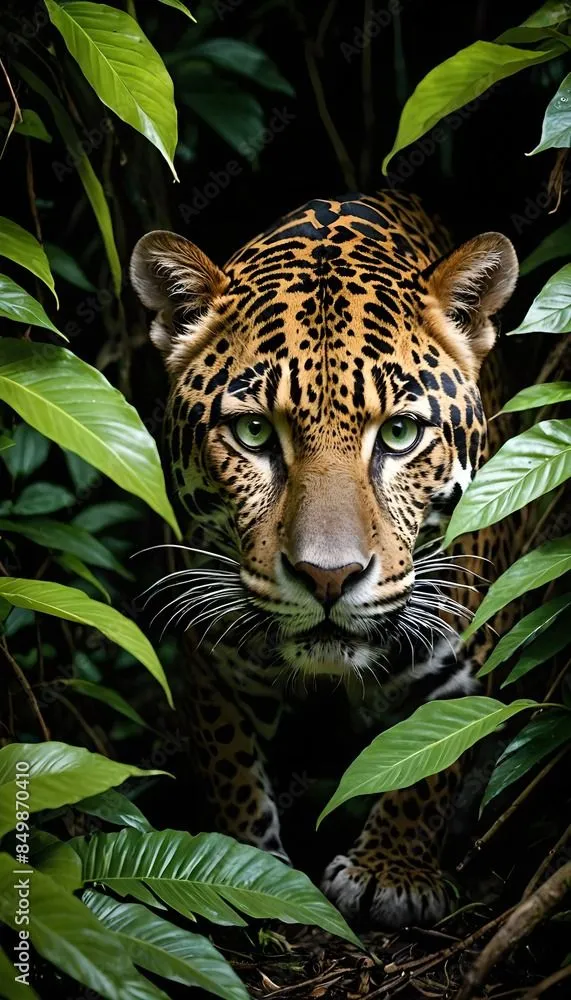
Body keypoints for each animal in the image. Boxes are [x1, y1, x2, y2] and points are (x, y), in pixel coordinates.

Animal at [130, 190, 523, 929]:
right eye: (254, 431)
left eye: (398, 435)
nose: (328, 577)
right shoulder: (211, 653)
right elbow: (230, 764)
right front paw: (242, 868)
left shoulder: (461, 658)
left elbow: (431, 763)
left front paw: (389, 874)